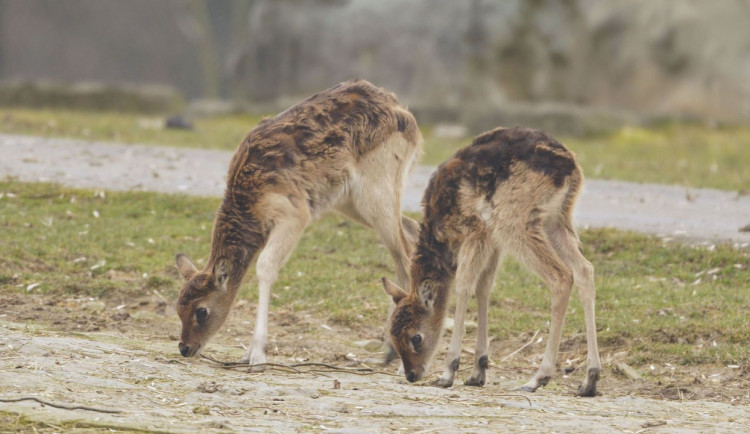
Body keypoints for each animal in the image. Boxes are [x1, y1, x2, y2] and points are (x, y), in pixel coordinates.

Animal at [175, 79, 424, 368]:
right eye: (177, 306)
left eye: (201, 311)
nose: (185, 347)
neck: (250, 204)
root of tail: (408, 118)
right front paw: (248, 353)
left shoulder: (294, 213)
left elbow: (265, 266)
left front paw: (256, 355)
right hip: (351, 201)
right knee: (412, 230)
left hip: (376, 187)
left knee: (403, 255)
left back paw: (391, 353)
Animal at [384, 126, 604, 396]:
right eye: (392, 334)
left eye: (416, 337)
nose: (412, 374)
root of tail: (570, 169)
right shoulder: (492, 239)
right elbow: (484, 287)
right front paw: (477, 371)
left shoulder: (476, 229)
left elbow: (465, 285)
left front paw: (448, 372)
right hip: (557, 220)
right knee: (585, 269)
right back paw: (589, 380)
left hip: (513, 220)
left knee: (561, 276)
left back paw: (538, 378)